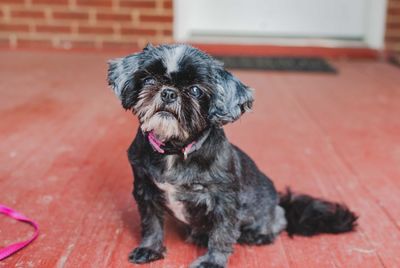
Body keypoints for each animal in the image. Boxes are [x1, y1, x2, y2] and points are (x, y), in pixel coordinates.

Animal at [108, 44, 358, 268]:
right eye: (149, 80)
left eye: (196, 90)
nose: (168, 92)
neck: (175, 149)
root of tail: (281, 202)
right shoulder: (145, 190)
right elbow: (151, 223)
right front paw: (150, 249)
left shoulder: (224, 201)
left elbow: (221, 234)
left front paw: (212, 262)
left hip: (266, 216)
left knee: (275, 225)